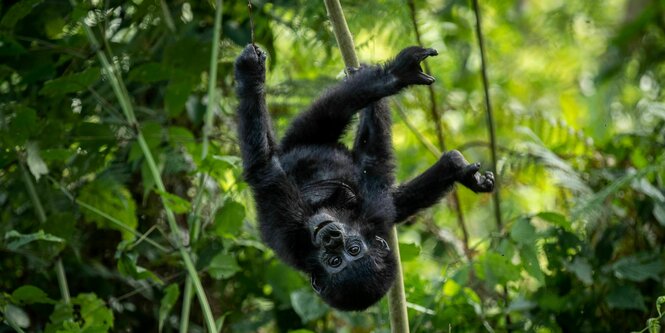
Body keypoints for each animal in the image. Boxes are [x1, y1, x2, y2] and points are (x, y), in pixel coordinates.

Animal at [235, 42, 492, 310]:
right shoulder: (290, 232)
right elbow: (264, 168)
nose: (331, 238)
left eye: (353, 250)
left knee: (332, 115)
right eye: (334, 261)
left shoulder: (375, 216)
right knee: (331, 114)